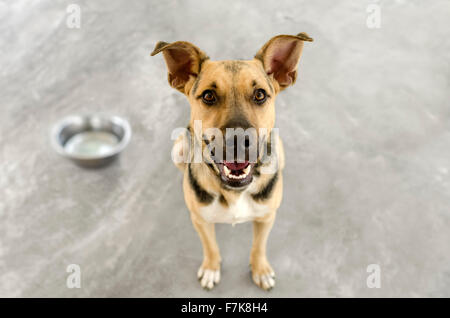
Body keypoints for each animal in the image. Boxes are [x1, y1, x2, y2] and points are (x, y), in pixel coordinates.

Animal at [151, 33, 312, 290]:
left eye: (260, 95)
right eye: (208, 95)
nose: (238, 140)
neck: (234, 190)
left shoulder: (267, 217)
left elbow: (259, 246)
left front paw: (260, 269)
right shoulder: (200, 220)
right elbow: (210, 246)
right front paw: (211, 268)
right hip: (178, 149)